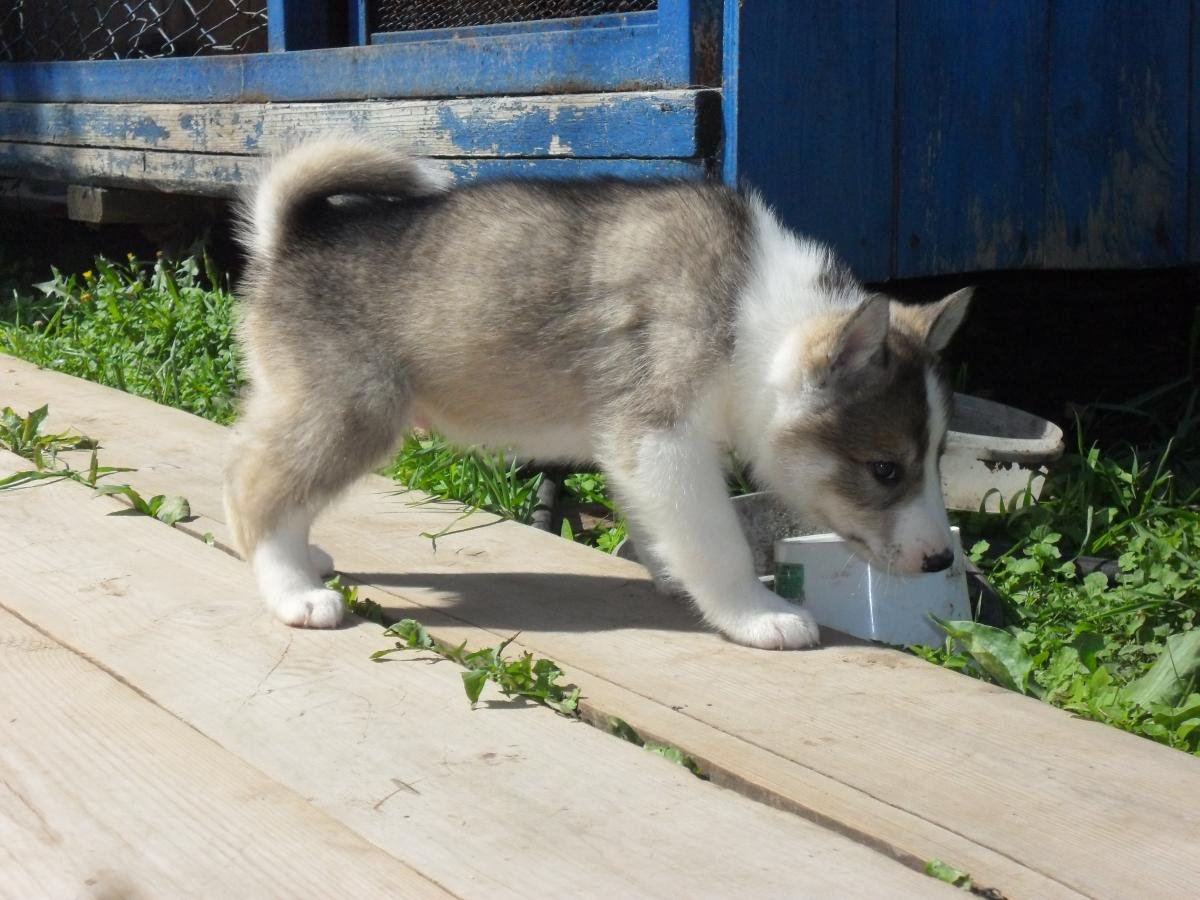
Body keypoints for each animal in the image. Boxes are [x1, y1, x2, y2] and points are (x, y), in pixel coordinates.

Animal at [225, 139, 969, 648]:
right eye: (885, 469)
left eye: (936, 461)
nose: (940, 561)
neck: (751, 312)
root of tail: (290, 239)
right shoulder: (661, 438)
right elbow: (718, 540)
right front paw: (756, 614)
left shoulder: (634, 448)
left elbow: (665, 529)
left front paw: (675, 577)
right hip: (352, 412)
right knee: (253, 488)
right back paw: (294, 591)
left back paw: (300, 559)